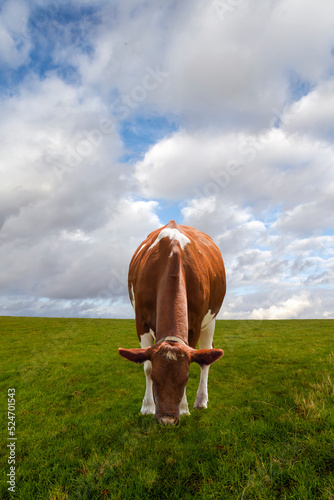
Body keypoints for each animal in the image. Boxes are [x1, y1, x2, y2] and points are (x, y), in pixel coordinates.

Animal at [118, 221, 226, 424]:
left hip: (211, 320)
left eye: (185, 380)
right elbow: (147, 366)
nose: (167, 420)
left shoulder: (195, 324)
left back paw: (201, 400)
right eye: (156, 380)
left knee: (206, 358)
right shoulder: (140, 321)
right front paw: (147, 406)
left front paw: (184, 409)